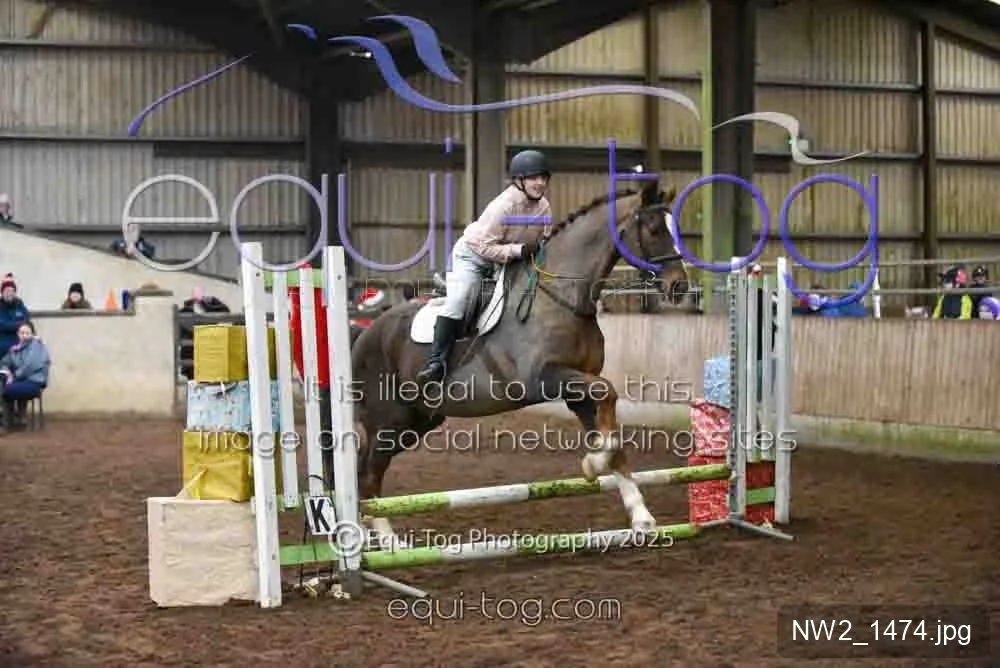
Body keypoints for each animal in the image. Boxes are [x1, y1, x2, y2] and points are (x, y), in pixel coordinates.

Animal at [347, 177, 687, 548]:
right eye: (653, 229)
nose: (680, 287)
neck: (564, 300)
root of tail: (365, 333)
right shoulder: (542, 379)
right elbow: (607, 393)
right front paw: (594, 465)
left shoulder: (577, 388)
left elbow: (612, 436)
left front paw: (639, 514)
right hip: (389, 421)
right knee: (368, 475)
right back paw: (388, 544)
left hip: (418, 421)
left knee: (365, 471)